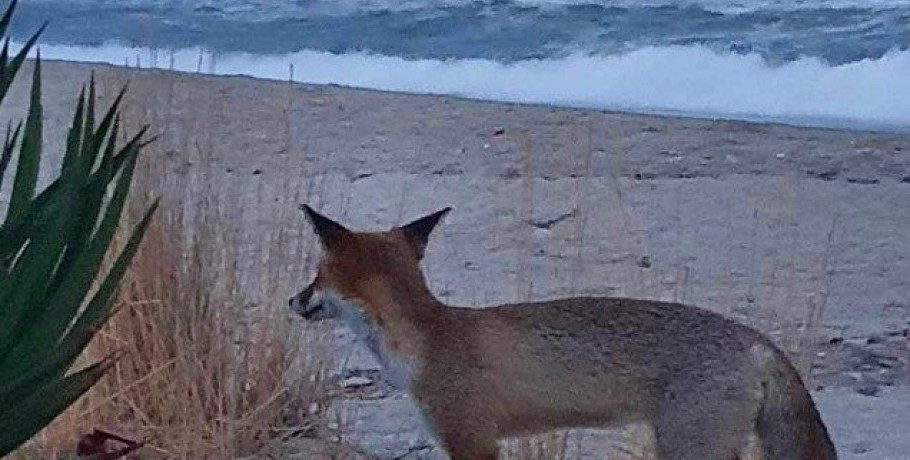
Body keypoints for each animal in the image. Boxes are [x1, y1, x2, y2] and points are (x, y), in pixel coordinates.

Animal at [290, 206, 840, 460]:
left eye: (314, 276)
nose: (291, 302)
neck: (429, 340)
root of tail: (754, 337)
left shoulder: (471, 439)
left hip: (688, 448)